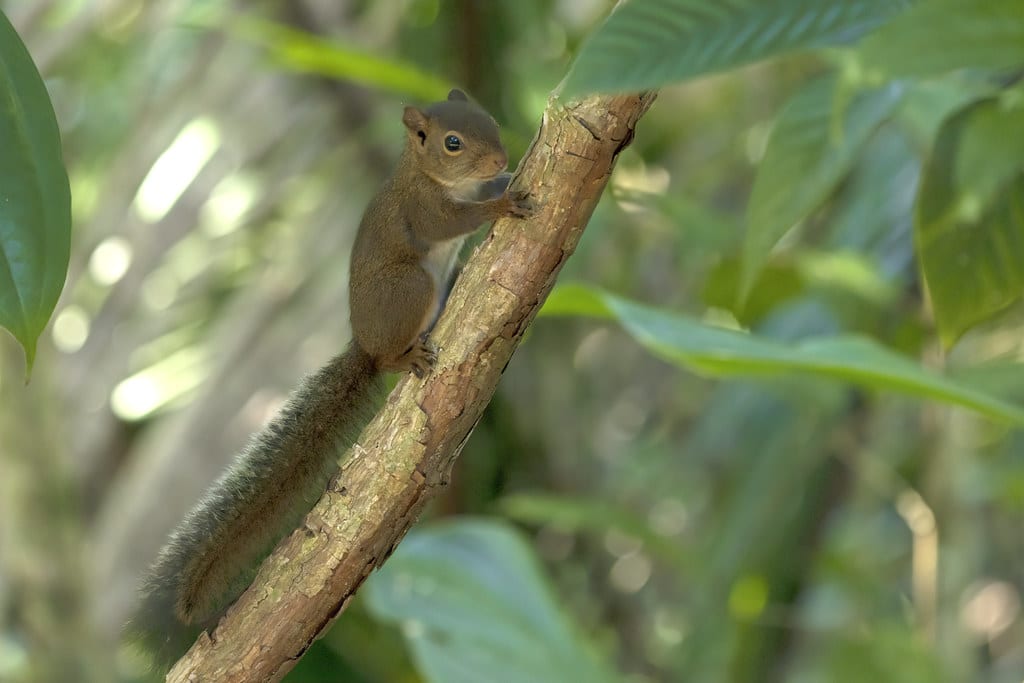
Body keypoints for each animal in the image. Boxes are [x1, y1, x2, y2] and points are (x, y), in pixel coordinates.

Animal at [130, 88, 534, 667]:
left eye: (491, 120)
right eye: (452, 142)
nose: (500, 160)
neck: (428, 175)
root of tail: (363, 345)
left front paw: (507, 179)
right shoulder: (422, 209)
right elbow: (447, 224)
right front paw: (499, 204)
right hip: (410, 288)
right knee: (391, 353)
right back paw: (403, 358)